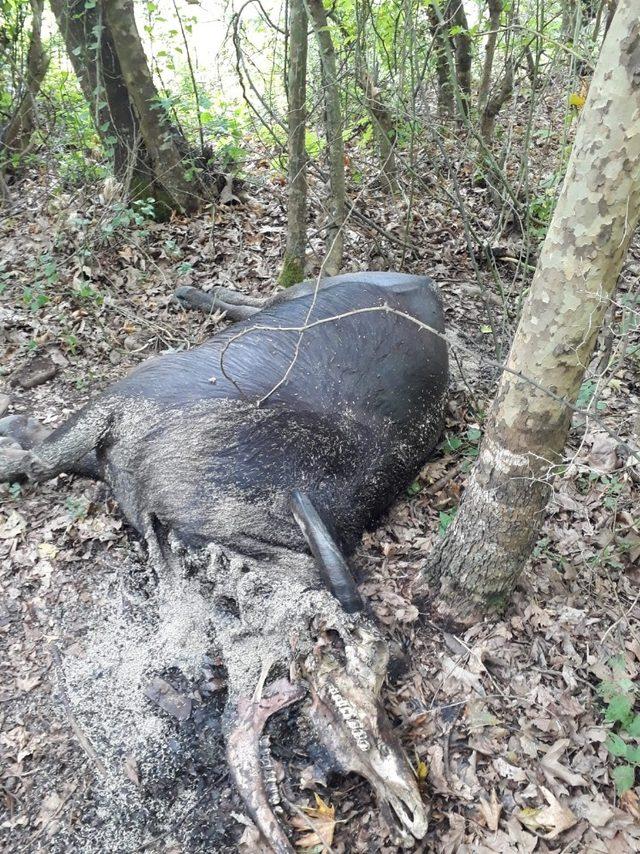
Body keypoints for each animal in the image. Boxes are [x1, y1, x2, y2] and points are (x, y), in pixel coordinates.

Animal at [1, 270, 450, 852]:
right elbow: (37, 461)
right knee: (263, 302)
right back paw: (193, 293)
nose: (408, 803)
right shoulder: (125, 397)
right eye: (346, 654)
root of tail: (422, 284)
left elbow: (41, 457)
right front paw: (14, 432)